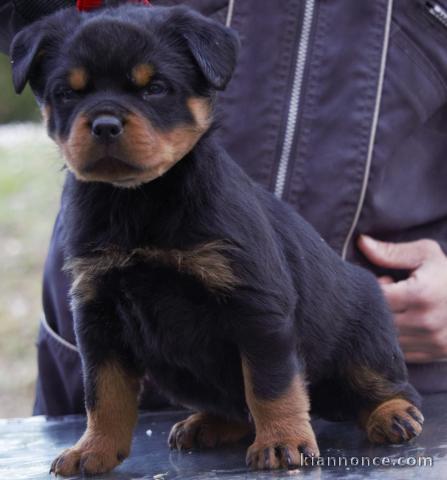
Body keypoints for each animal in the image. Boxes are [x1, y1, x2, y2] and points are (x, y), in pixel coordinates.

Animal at [9, 2, 424, 476]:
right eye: (66, 93)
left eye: (155, 88)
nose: (104, 124)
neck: (137, 201)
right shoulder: (98, 316)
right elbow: (103, 393)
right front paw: (93, 448)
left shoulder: (257, 308)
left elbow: (269, 384)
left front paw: (282, 442)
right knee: (235, 406)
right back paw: (206, 423)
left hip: (365, 340)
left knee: (387, 385)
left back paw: (392, 414)